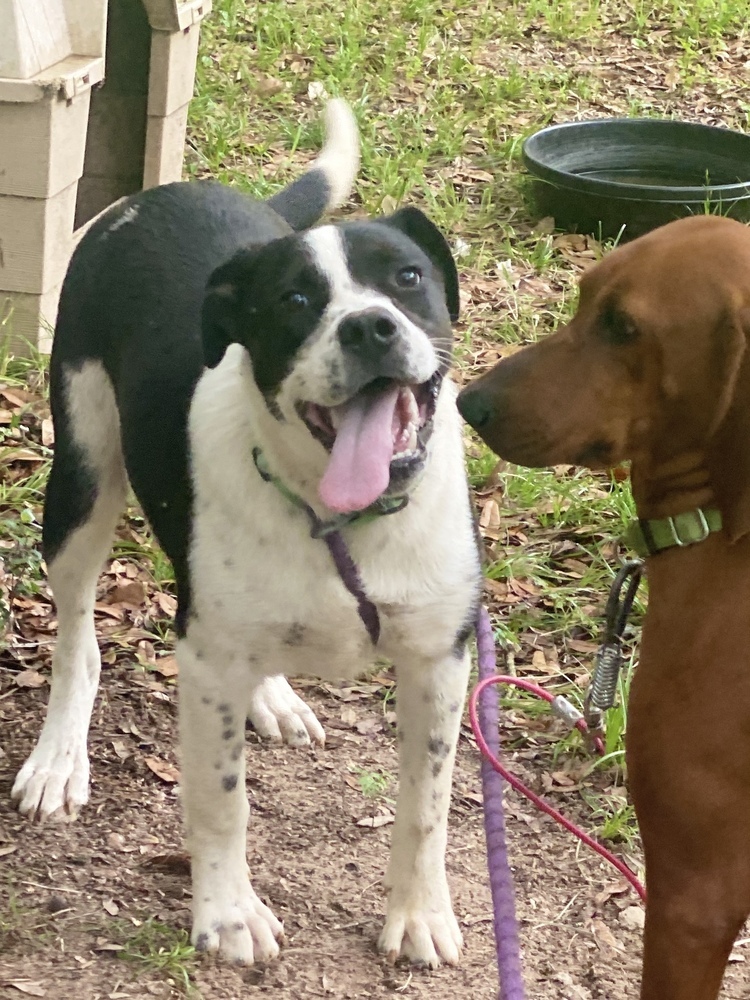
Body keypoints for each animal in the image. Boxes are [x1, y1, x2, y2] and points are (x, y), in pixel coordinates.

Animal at [13, 101, 482, 968]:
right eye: (294, 300)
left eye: (408, 277)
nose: (370, 328)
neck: (338, 520)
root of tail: (156, 194)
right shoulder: (204, 663)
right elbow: (221, 800)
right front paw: (229, 915)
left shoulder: (440, 659)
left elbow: (427, 804)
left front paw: (418, 914)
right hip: (83, 480)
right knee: (77, 642)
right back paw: (60, 758)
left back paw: (275, 698)